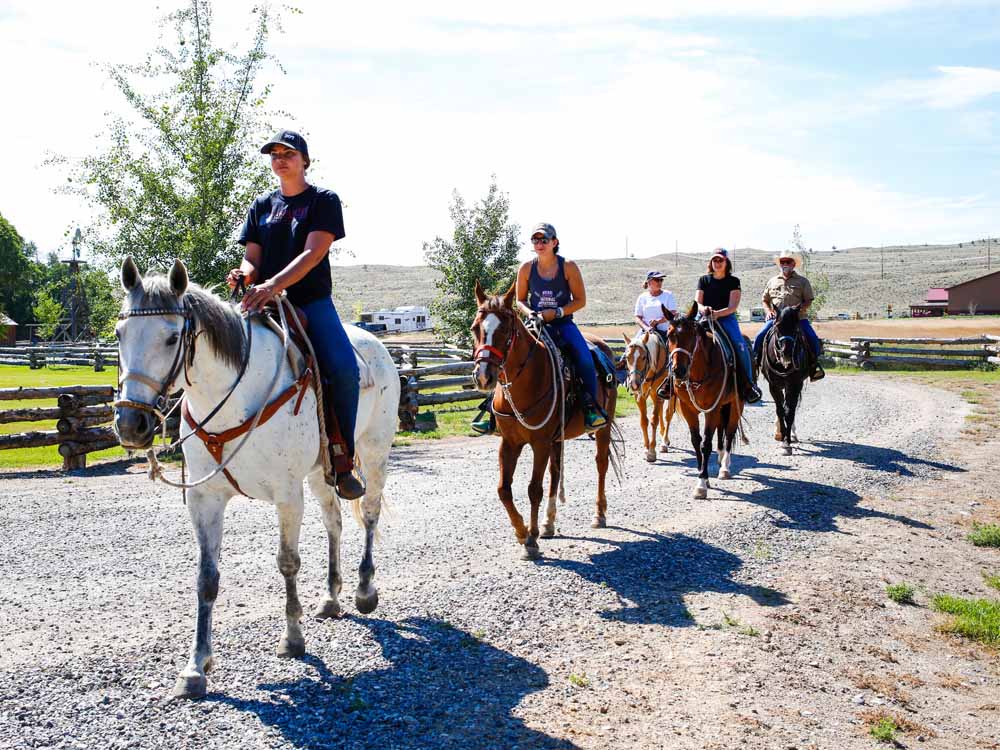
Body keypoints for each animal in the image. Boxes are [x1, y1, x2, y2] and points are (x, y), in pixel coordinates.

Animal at [111, 258, 400, 700]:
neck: (232, 394)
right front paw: (195, 667)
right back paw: (330, 597)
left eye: (172, 337)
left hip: (373, 451)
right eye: (119, 333)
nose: (131, 424)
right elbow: (206, 577)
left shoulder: (287, 495)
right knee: (333, 522)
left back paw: (364, 591)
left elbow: (288, 562)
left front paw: (292, 639)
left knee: (368, 513)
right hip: (321, 472)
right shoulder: (205, 499)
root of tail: (379, 345)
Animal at [472, 280, 620, 560]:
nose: (484, 376)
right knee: (556, 471)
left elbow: (533, 489)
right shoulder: (509, 443)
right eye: (476, 328)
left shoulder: (539, 442)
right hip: (557, 438)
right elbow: (503, 489)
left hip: (602, 428)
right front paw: (521, 532)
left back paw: (599, 514)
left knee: (601, 464)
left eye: (504, 329)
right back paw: (549, 523)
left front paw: (531, 541)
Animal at [620, 330, 676, 464]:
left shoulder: (658, 393)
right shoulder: (640, 396)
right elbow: (644, 421)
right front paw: (646, 448)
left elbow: (654, 420)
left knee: (668, 414)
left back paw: (664, 442)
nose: (634, 384)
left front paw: (651, 452)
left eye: (644, 357)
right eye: (627, 357)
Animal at [664, 302, 744, 502]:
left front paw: (701, 484)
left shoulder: (712, 409)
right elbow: (696, 442)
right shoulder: (688, 409)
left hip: (735, 404)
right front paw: (704, 476)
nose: (678, 371)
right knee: (722, 431)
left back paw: (725, 468)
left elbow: (706, 444)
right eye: (669, 335)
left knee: (729, 433)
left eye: (692, 336)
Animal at [760, 306, 808, 458]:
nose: (786, 352)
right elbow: (780, 410)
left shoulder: (795, 385)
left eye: (795, 327)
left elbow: (789, 411)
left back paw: (792, 433)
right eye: (778, 326)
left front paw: (787, 441)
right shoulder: (773, 385)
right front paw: (781, 437)